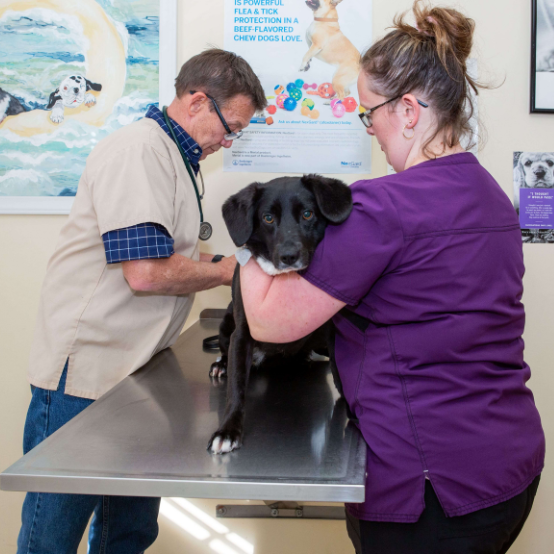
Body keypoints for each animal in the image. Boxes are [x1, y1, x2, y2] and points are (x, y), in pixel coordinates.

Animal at [205, 174, 352, 452]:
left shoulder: (331, 332)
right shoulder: (242, 335)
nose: (288, 256)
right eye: (268, 218)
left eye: (307, 214)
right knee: (225, 352)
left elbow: (341, 373)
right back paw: (221, 364)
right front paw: (228, 430)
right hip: (226, 325)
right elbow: (236, 388)